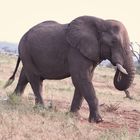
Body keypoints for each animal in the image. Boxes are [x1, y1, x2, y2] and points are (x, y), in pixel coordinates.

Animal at [4, 15, 135, 122]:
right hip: (25, 50)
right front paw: (98, 121)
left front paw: (73, 116)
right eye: (113, 42)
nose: (117, 66)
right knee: (35, 79)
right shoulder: (75, 50)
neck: (102, 22)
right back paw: (41, 109)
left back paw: (13, 100)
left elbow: (84, 80)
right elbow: (81, 78)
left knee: (25, 76)